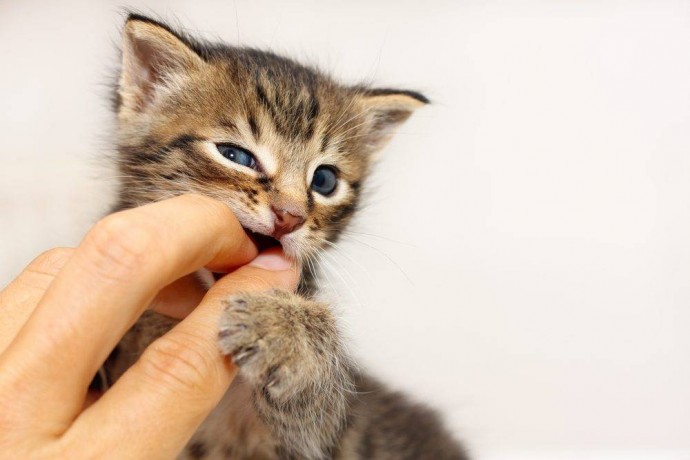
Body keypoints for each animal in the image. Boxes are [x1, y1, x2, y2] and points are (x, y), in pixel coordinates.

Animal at [104, 13, 467, 460]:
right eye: (235, 155)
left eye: (325, 180)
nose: (290, 216)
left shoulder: (325, 439)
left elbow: (320, 411)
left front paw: (286, 329)